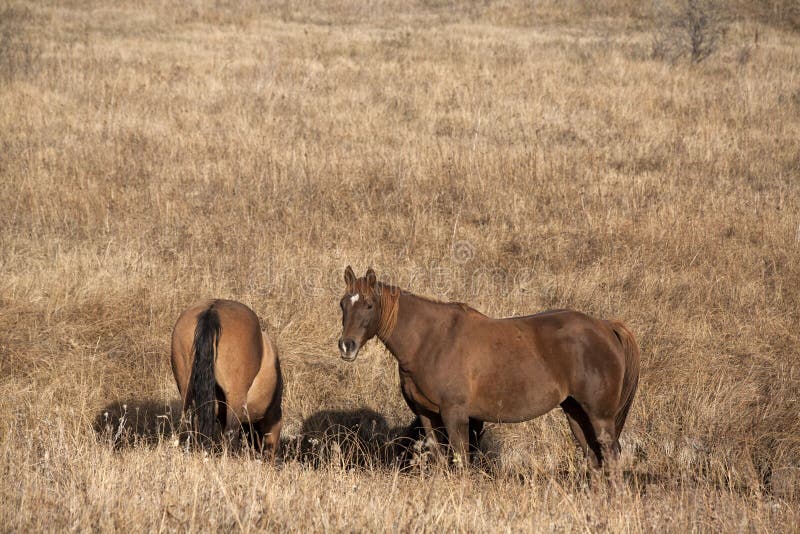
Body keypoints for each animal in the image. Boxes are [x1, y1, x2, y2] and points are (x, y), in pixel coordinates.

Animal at [337, 266, 640, 470]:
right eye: (342, 304)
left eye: (369, 304)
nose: (346, 346)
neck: (431, 340)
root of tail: (605, 326)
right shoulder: (427, 415)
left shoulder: (455, 414)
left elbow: (461, 461)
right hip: (576, 413)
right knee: (593, 458)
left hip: (599, 415)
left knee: (610, 455)